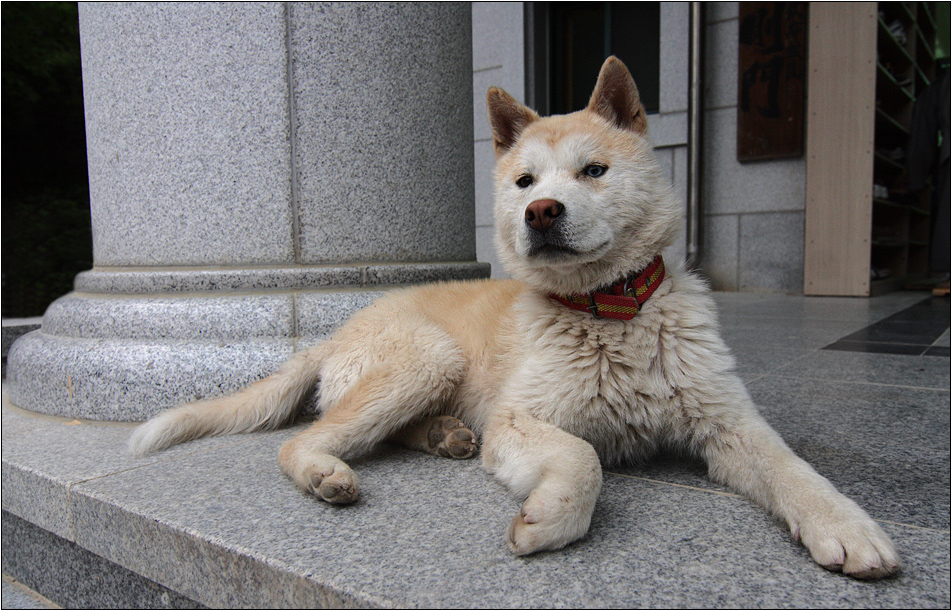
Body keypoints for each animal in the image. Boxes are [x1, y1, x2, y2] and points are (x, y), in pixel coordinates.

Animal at [132, 56, 900, 580]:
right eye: (525, 181)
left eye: (593, 171)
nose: (541, 212)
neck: (608, 313)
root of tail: (334, 330)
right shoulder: (519, 417)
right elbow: (583, 457)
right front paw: (553, 514)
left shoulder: (728, 420)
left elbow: (793, 468)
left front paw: (845, 524)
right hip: (428, 357)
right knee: (301, 440)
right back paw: (328, 470)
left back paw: (442, 434)